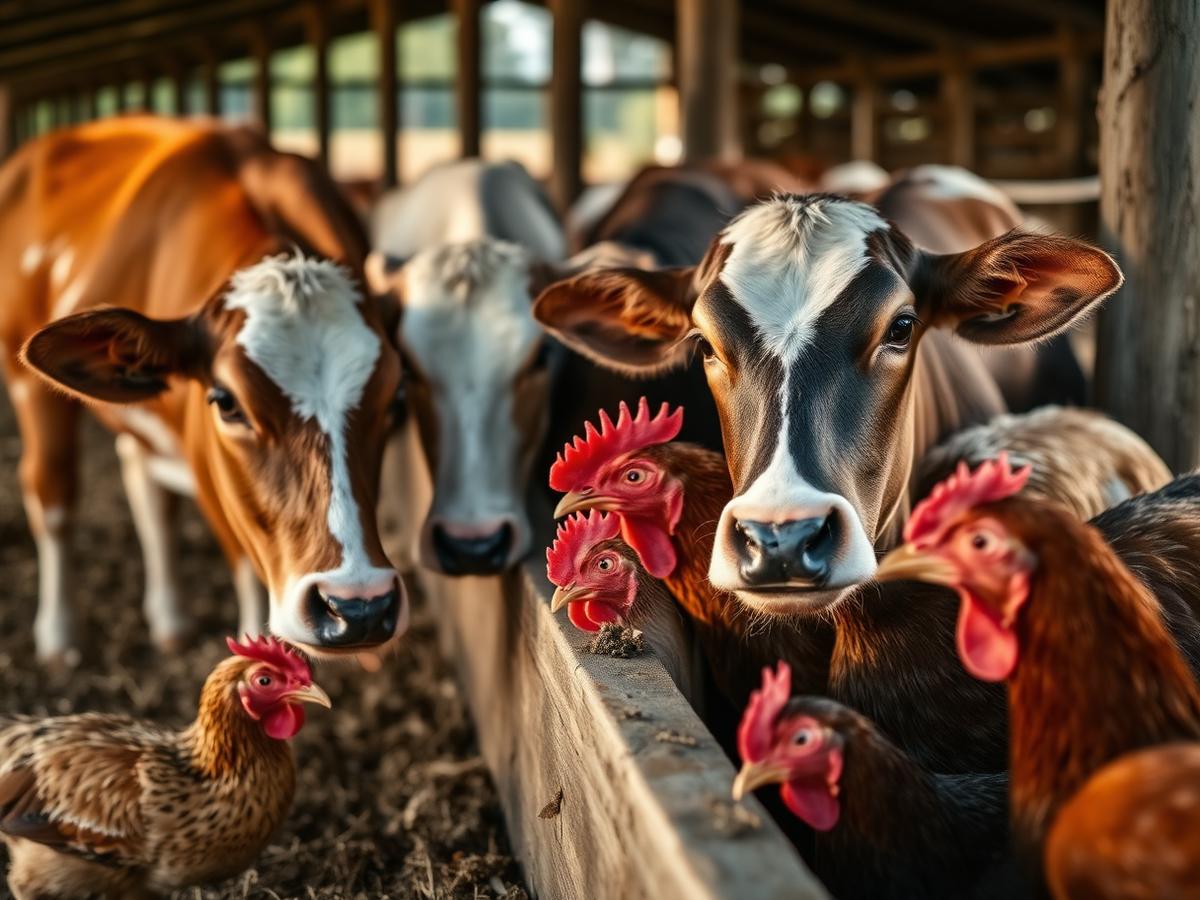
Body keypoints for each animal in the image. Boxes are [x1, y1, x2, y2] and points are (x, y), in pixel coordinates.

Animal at [0, 117, 405, 665]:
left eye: (395, 401)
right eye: (227, 403)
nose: (358, 605)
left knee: (144, 482)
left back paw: (170, 617)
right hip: (26, 380)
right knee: (53, 491)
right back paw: (60, 635)